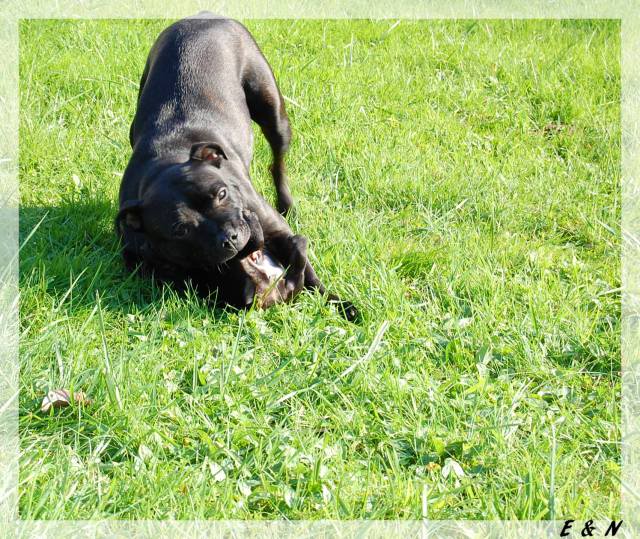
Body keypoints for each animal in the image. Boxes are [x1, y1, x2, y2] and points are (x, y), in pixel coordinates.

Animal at [117, 13, 358, 320]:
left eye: (221, 194)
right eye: (179, 230)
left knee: (278, 161)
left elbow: (312, 277)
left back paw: (287, 204)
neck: (166, 161)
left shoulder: (276, 230)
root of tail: (203, 16)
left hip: (272, 111)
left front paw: (342, 305)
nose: (230, 238)